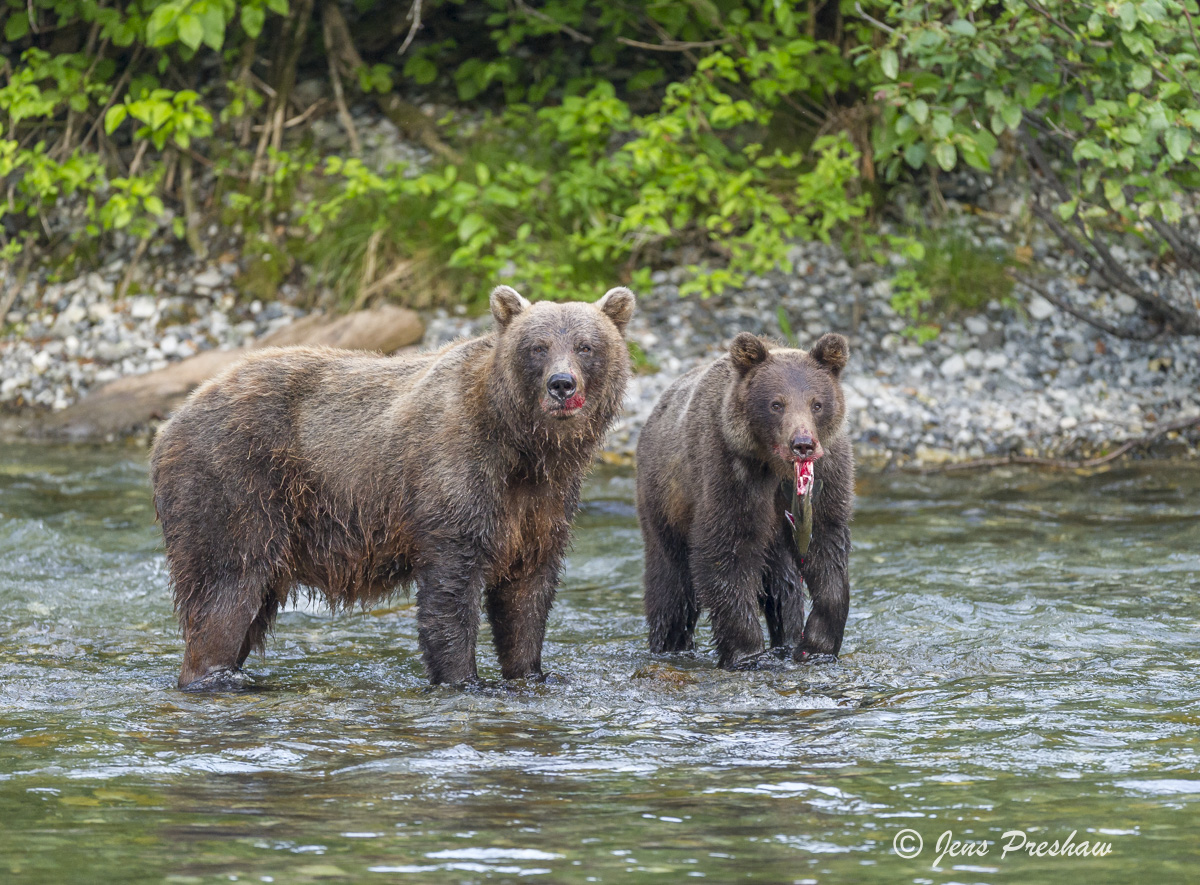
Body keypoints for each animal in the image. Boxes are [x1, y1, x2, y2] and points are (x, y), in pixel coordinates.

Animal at [151, 286, 638, 685]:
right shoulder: (457, 477)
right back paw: (210, 674)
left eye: (585, 345)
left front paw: (530, 671)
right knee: (226, 588)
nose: (562, 384)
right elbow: (450, 592)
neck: (525, 449)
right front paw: (462, 678)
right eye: (537, 346)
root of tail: (170, 422)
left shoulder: (541, 506)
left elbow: (526, 596)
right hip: (236, 485)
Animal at [638, 333, 854, 666]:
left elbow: (828, 549)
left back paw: (786, 638)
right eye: (776, 403)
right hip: (664, 500)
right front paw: (746, 652)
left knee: (783, 586)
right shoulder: (731, 472)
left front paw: (816, 646)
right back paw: (670, 644)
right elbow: (725, 552)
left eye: (817, 403)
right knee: (671, 586)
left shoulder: (828, 475)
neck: (777, 468)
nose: (802, 443)